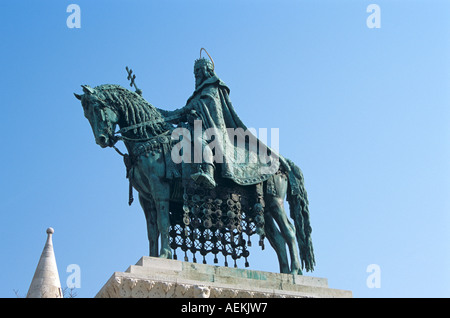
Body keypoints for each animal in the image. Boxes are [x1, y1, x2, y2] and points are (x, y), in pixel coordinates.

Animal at [74, 83, 314, 274]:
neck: (149, 138)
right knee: (278, 238)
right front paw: (152, 257)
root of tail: (282, 160)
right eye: (85, 114)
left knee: (290, 232)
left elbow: (162, 222)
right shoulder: (145, 198)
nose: (102, 139)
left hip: (275, 200)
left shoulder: (160, 188)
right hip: (263, 207)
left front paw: (164, 255)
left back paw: (295, 272)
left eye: (97, 108)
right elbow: (151, 230)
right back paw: (284, 274)